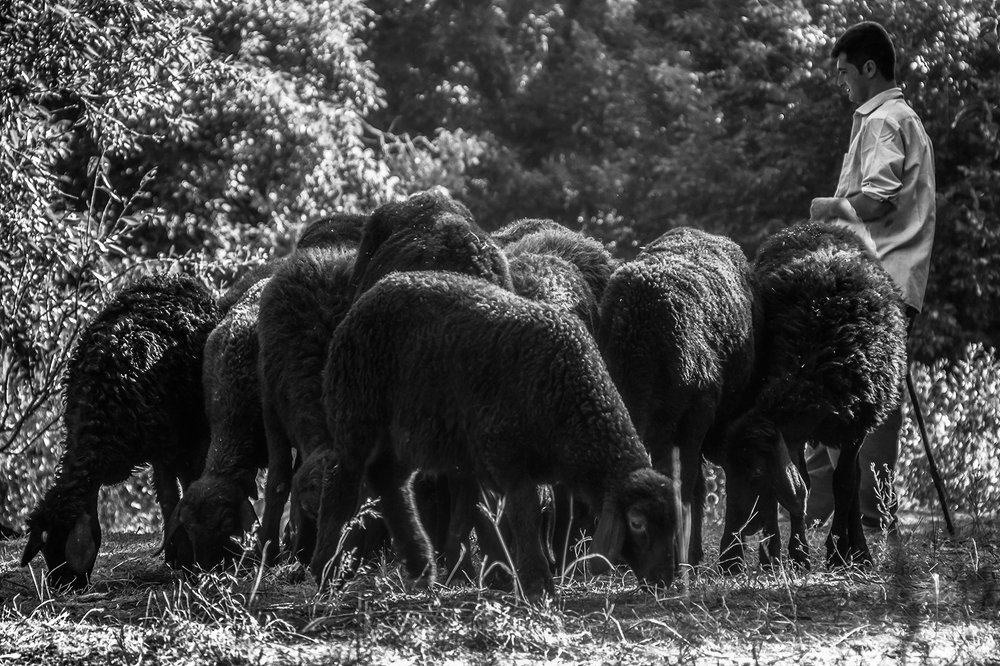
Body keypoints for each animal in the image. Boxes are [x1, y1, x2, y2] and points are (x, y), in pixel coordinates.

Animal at [21, 273, 220, 589]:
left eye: (58, 547)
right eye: (44, 550)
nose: (60, 587)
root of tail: (174, 277)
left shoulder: (175, 442)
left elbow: (185, 487)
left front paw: (190, 559)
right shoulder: (159, 448)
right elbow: (167, 496)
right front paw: (177, 556)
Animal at [309, 270, 681, 600]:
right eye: (636, 523)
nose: (664, 579)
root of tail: (376, 290)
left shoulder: (487, 460)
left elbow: (479, 513)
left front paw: (498, 575)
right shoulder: (504, 455)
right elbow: (522, 513)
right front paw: (534, 584)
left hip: (408, 434)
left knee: (390, 482)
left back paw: (421, 565)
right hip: (358, 412)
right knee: (342, 483)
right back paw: (327, 572)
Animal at [720, 222, 907, 571]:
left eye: (754, 474)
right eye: (727, 471)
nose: (737, 534)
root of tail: (817, 225)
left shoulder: (856, 426)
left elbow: (844, 484)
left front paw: (838, 552)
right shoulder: (792, 436)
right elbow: (802, 485)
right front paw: (797, 553)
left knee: (853, 482)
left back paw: (857, 550)